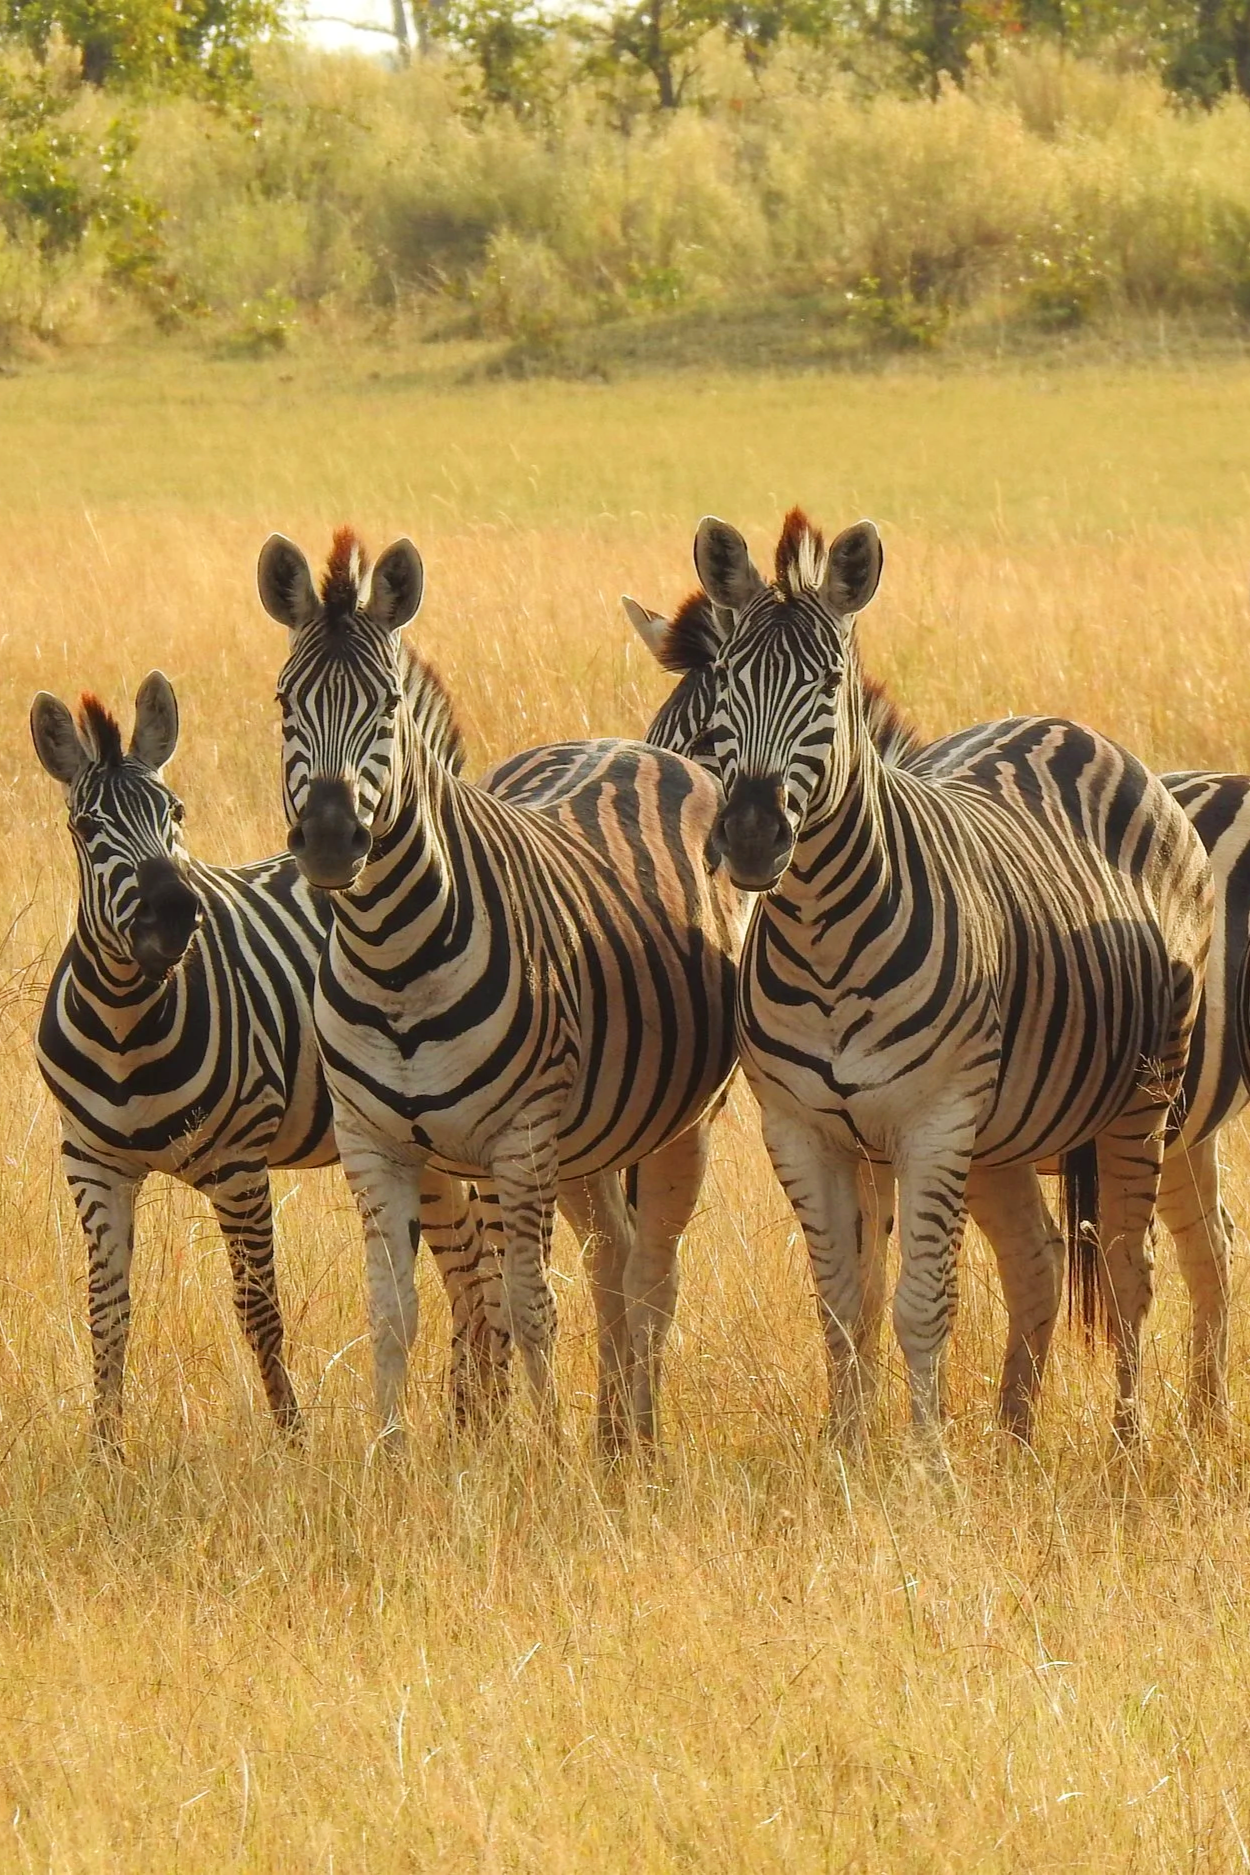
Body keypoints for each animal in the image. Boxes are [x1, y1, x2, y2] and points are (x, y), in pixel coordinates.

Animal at [31, 675, 498, 1453]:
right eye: (88, 829)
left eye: (177, 813)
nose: (174, 912)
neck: (127, 1023)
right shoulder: (92, 1163)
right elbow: (106, 1310)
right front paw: (104, 1450)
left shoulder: (239, 1164)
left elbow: (258, 1309)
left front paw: (291, 1440)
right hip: (417, 1141)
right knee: (465, 1259)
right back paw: (468, 1420)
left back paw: (480, 1416)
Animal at [256, 526, 742, 1450]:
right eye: (284, 701)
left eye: (387, 709)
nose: (333, 839)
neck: (394, 957)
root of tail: (633, 744)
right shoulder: (374, 1142)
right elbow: (392, 1312)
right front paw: (389, 1455)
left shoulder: (519, 1140)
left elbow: (528, 1305)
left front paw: (543, 1453)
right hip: (586, 1134)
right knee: (613, 1253)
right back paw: (612, 1437)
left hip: (679, 1121)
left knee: (655, 1271)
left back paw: (641, 1436)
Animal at [653, 508, 1211, 1451]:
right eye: (729, 681)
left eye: (829, 685)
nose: (755, 835)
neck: (822, 934)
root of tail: (1080, 733)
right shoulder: (801, 1129)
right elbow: (842, 1304)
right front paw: (848, 1453)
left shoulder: (934, 1120)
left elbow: (920, 1304)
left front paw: (926, 1462)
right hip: (1006, 1130)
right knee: (1037, 1257)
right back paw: (1016, 1438)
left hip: (1143, 1095)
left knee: (1130, 1270)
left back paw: (1126, 1445)